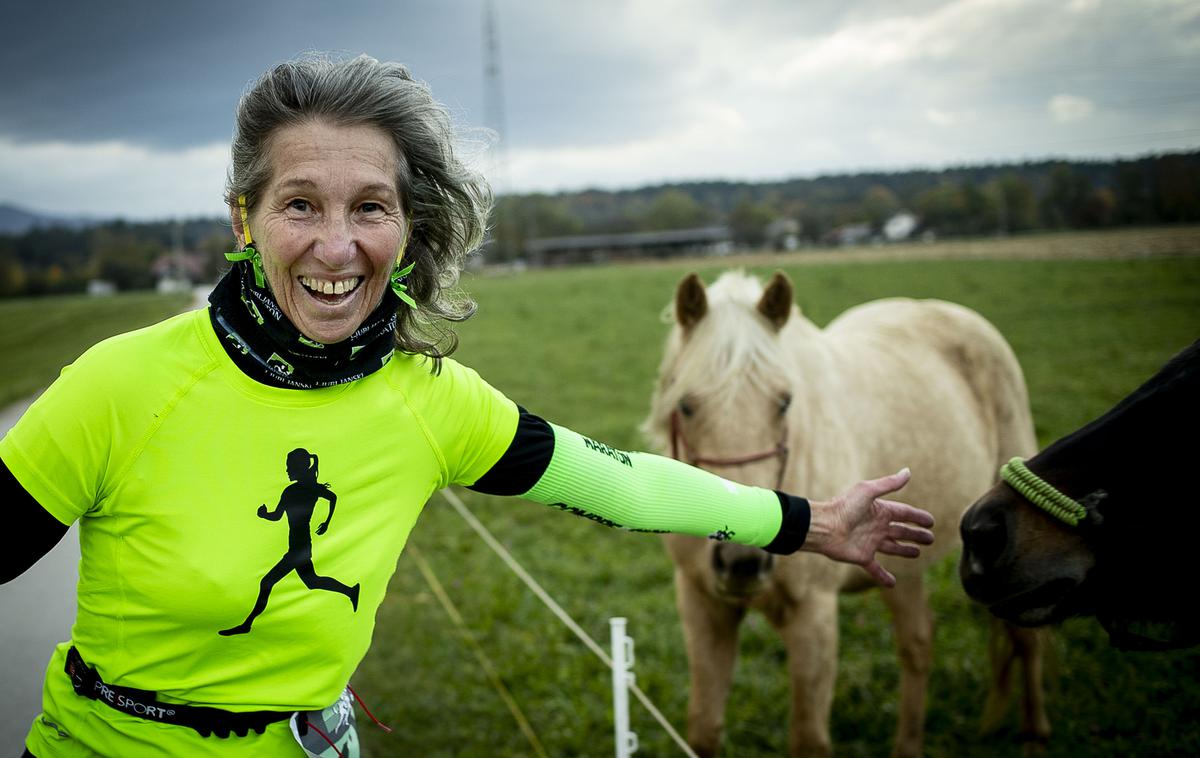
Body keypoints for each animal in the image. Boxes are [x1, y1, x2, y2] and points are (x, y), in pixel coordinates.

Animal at [643, 272, 1046, 758]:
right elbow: (704, 730)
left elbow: (808, 740)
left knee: (1025, 639)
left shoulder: (813, 616)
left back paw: (1035, 737)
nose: (742, 561)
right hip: (900, 567)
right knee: (918, 646)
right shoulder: (704, 605)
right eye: (686, 405)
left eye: (784, 403)